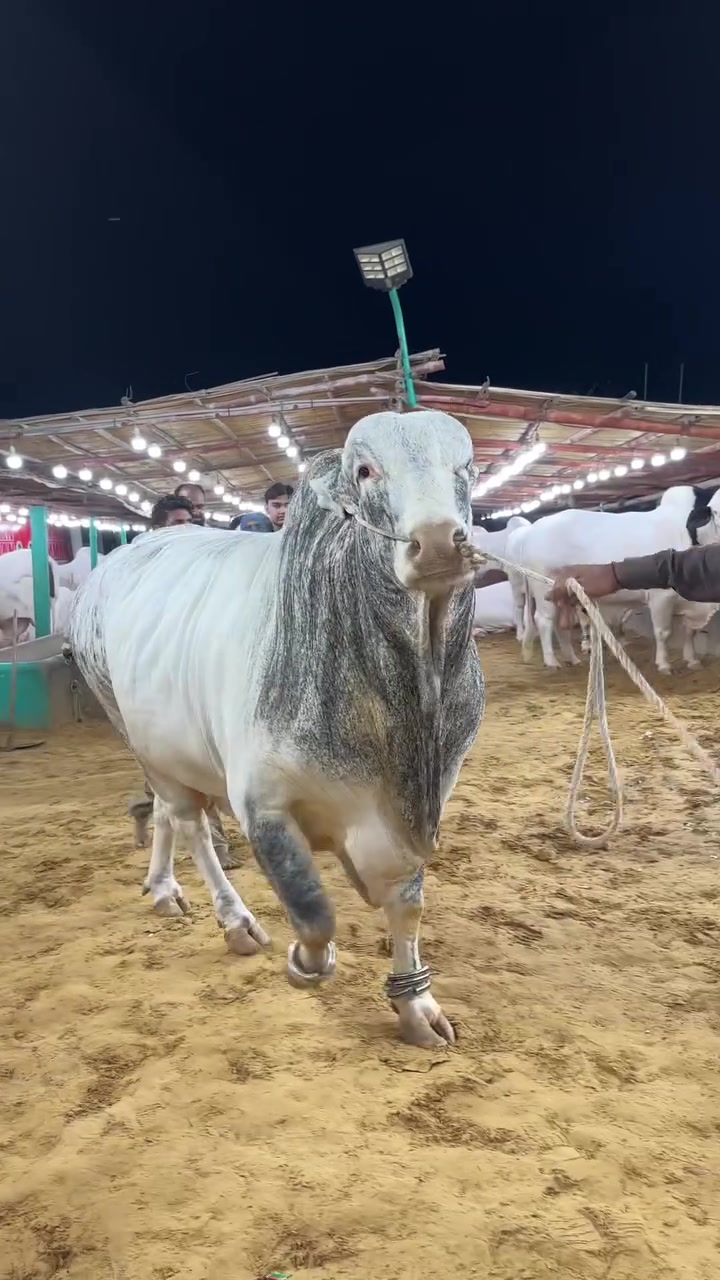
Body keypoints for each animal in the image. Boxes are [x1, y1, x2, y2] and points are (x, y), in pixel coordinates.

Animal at [69, 410, 485, 1048]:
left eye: (465, 466)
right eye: (365, 470)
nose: (439, 541)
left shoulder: (419, 807)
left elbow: (408, 906)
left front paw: (418, 1007)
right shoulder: (261, 804)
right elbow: (313, 910)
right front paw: (307, 964)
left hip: (166, 744)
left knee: (164, 812)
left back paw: (163, 888)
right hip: (128, 726)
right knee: (189, 823)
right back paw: (234, 919)